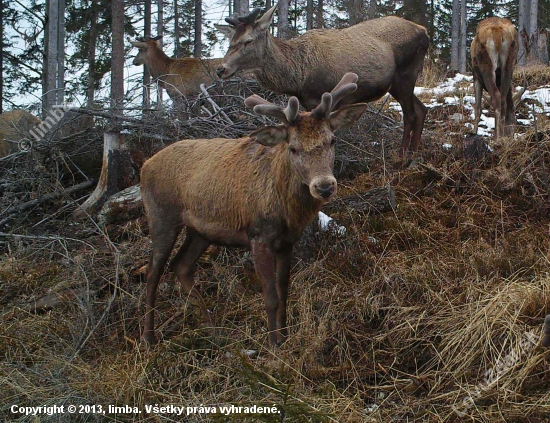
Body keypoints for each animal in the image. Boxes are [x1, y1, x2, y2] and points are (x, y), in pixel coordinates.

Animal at [140, 73, 368, 348]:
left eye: (332, 140)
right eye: (293, 147)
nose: (324, 186)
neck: (286, 211)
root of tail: (144, 166)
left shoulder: (287, 241)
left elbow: (284, 291)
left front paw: (285, 336)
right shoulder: (258, 234)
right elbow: (270, 297)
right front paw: (273, 345)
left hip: (201, 231)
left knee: (181, 265)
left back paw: (213, 329)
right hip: (160, 216)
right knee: (153, 271)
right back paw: (149, 337)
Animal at [216, 5, 432, 160]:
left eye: (248, 41)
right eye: (231, 41)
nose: (221, 69)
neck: (298, 75)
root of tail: (425, 31)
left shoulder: (324, 97)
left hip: (405, 74)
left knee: (411, 114)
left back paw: (402, 159)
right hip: (397, 83)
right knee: (422, 109)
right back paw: (413, 157)